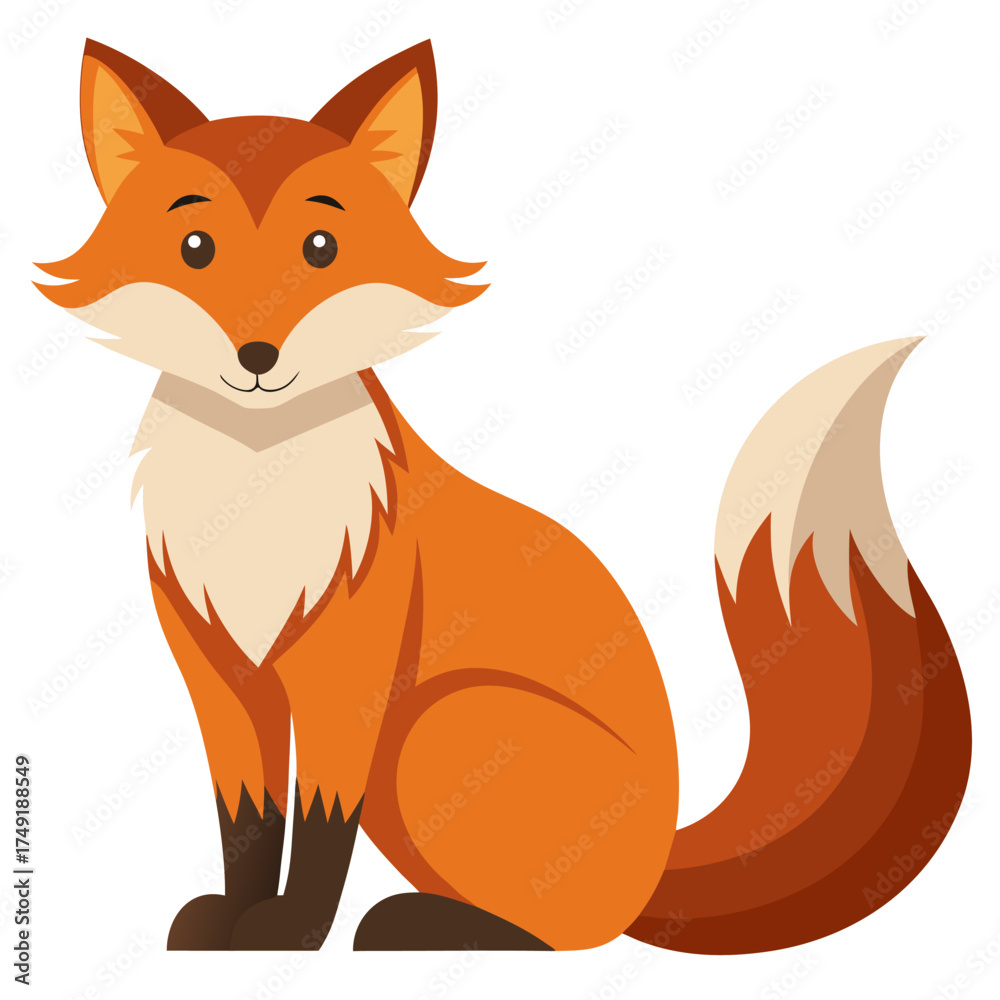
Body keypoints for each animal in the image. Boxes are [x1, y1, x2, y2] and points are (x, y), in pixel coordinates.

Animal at [36, 39, 972, 954]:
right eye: (195, 248)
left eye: (321, 248)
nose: (257, 355)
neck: (256, 497)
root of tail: (658, 866)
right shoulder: (224, 678)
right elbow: (247, 819)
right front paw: (234, 924)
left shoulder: (350, 677)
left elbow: (321, 821)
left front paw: (294, 932)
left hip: (438, 726)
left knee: (570, 933)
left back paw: (425, 928)